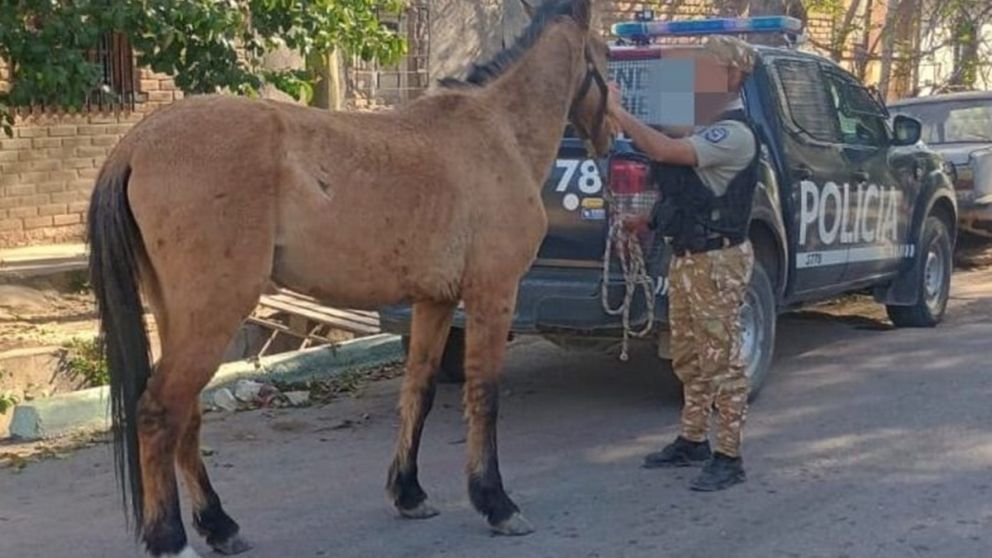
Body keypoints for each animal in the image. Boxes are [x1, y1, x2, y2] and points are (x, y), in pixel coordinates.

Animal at [87, 1, 612, 556]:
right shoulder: (493, 293)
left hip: (178, 315)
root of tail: (138, 142)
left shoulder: (435, 301)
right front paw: (495, 502)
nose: (610, 135)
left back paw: (219, 524)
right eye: (603, 54)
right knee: (159, 411)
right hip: (214, 313)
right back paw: (171, 538)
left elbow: (418, 391)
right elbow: (484, 395)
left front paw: (408, 493)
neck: (496, 133)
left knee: (185, 413)